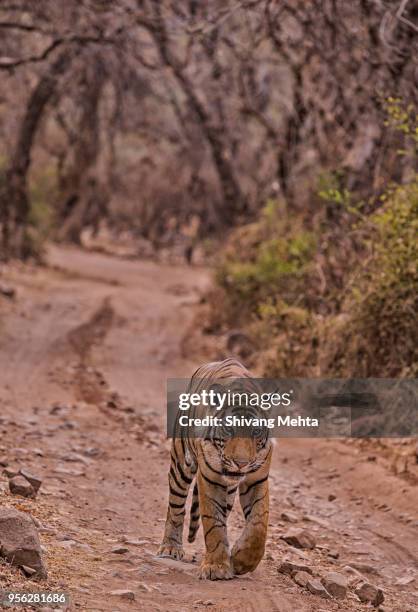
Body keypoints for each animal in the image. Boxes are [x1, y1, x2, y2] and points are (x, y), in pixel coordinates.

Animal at [158, 358, 272, 584]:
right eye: (229, 429)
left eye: (255, 431)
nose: (241, 463)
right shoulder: (210, 478)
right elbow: (213, 524)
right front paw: (217, 567)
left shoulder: (257, 478)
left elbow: (258, 524)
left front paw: (241, 560)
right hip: (181, 465)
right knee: (176, 508)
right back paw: (170, 548)